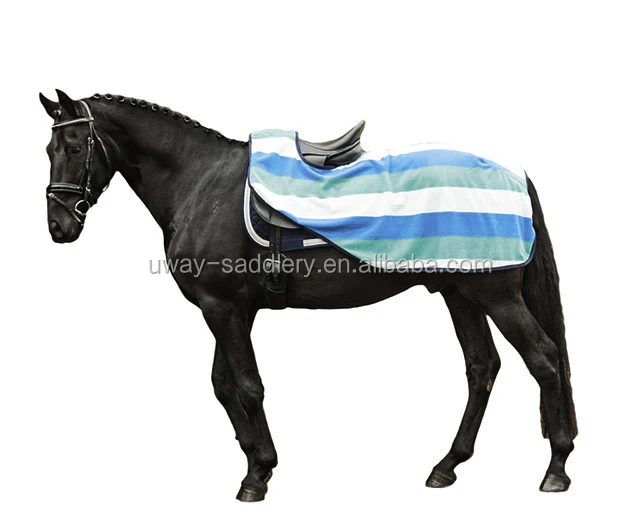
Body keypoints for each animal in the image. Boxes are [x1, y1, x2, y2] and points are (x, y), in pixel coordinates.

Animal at [39, 89, 577, 502]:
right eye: (49, 148)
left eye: (76, 144)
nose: (59, 226)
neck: (201, 181)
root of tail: (511, 174)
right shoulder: (230, 310)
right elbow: (222, 385)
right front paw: (255, 461)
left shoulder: (223, 308)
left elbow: (248, 386)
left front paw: (258, 475)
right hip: (459, 292)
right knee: (482, 368)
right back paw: (447, 465)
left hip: (495, 294)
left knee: (544, 359)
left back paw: (556, 468)